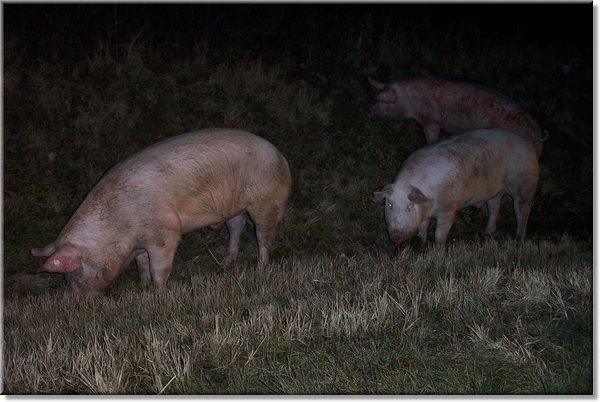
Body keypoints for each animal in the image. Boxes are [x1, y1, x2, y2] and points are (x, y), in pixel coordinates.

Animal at [31, 129, 292, 296]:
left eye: (74, 273)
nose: (76, 301)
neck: (120, 228)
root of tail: (280, 155)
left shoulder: (165, 233)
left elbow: (159, 267)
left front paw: (158, 294)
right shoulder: (140, 244)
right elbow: (142, 265)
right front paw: (142, 287)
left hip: (266, 201)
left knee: (263, 236)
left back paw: (261, 268)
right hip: (233, 207)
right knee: (237, 226)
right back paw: (225, 263)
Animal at [376, 129, 540, 245]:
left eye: (409, 207)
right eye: (389, 205)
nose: (396, 234)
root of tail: (529, 146)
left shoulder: (448, 209)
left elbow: (439, 234)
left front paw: (438, 249)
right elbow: (422, 228)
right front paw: (421, 243)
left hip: (525, 186)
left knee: (522, 212)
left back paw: (519, 238)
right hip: (496, 191)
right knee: (494, 206)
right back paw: (487, 233)